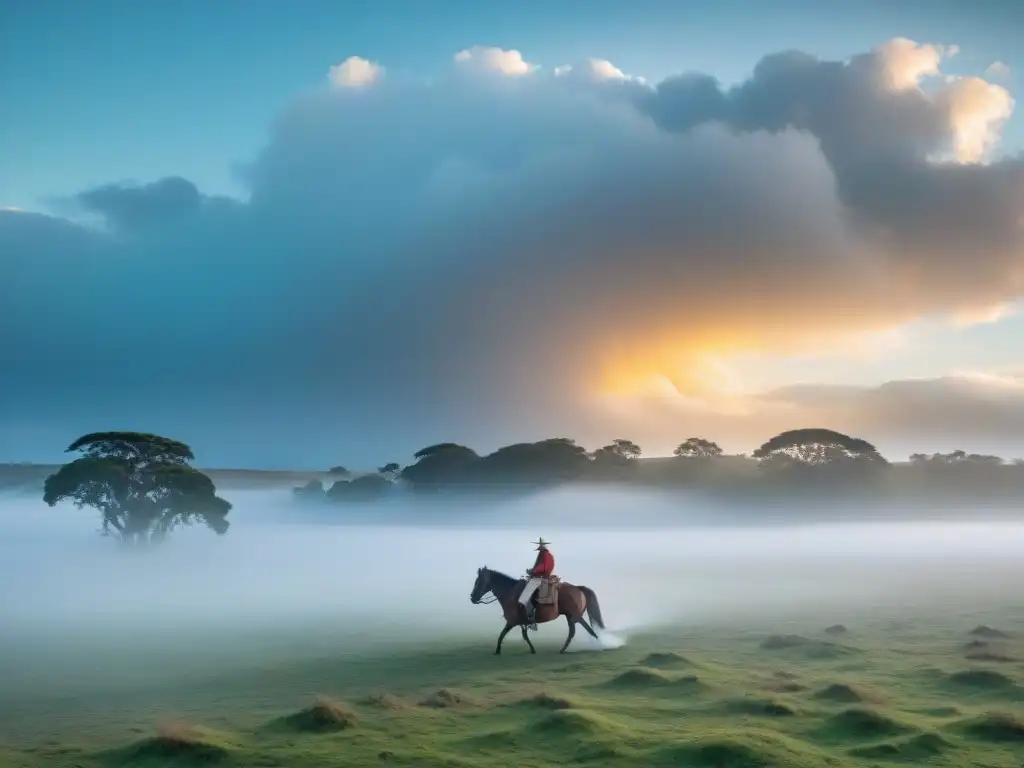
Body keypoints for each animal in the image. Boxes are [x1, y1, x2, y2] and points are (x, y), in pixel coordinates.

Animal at [471, 565, 606, 655]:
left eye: (479, 582)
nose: (472, 598)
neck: (510, 593)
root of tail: (578, 588)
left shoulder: (513, 622)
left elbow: (504, 634)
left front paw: (498, 650)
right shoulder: (520, 622)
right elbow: (516, 635)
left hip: (575, 616)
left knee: (587, 629)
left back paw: (601, 643)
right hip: (570, 617)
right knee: (573, 632)